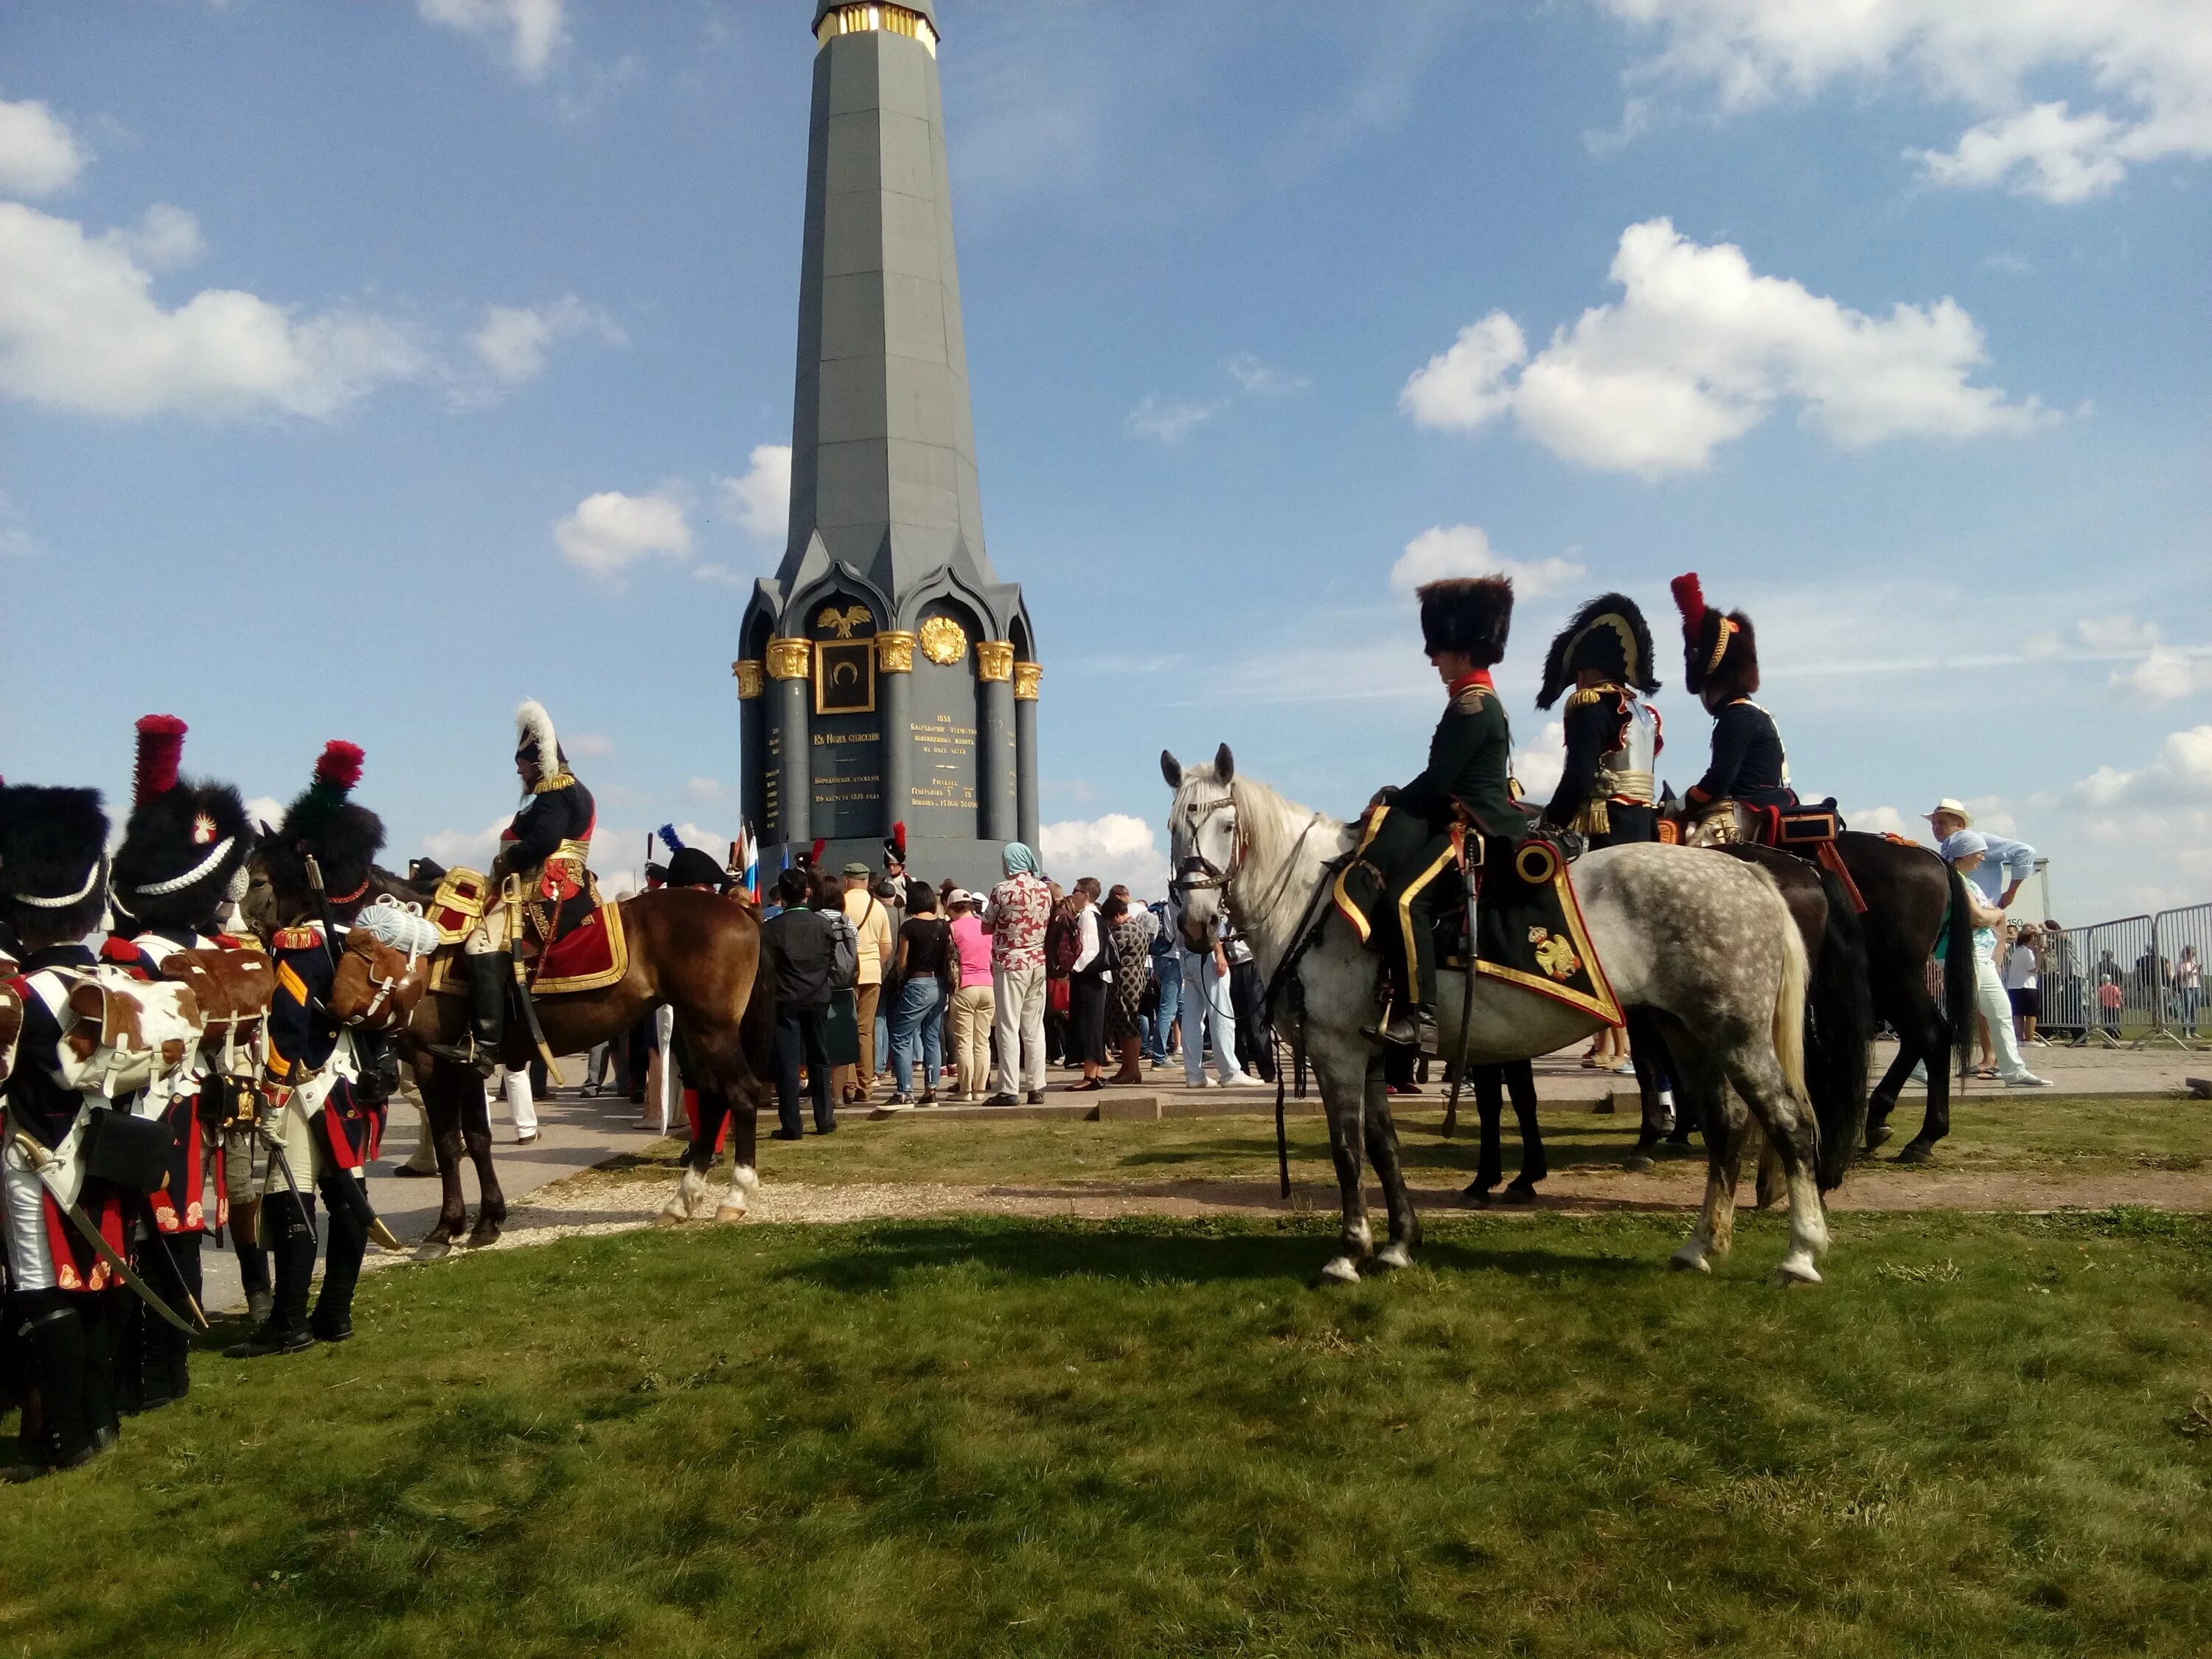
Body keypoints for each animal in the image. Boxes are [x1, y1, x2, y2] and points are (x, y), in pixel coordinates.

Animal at [332, 885, 774, 1248]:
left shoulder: (432, 1064)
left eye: (367, 948)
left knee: (742, 1094)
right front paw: (487, 1222)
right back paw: (682, 1201)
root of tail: (738, 909)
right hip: (693, 1028)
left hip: (711, 1028)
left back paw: (735, 1195)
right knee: (714, 1098)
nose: (336, 1005)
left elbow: (448, 1144)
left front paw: (446, 1228)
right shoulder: (467, 1065)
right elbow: (477, 1140)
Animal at [1159, 752, 1832, 1283]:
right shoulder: (1369, 1052)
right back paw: (1700, 1247)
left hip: (1736, 1036)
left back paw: (1799, 1254)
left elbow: (1347, 1149)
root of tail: (1748, 871)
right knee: (1726, 1128)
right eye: (1172, 829)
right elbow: (1383, 1145)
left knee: (1791, 1123)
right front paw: (1400, 1244)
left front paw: (1350, 1253)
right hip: (1687, 1033)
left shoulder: (1337, 1051)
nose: (1194, 923)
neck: (1313, 897)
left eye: (1226, 824)